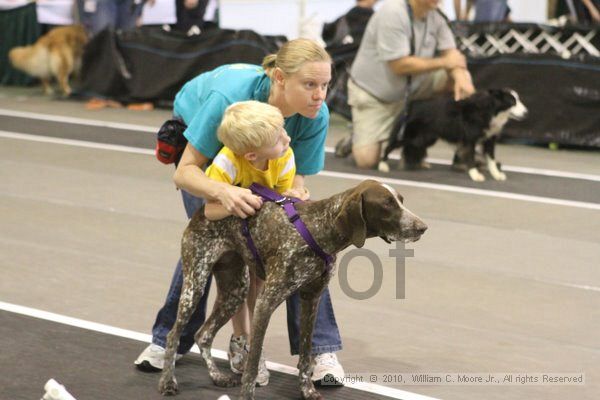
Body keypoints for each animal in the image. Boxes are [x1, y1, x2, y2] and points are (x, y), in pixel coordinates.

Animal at [156, 180, 426, 398]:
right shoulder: (265, 303)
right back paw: (168, 382)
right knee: (174, 334)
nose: (422, 227)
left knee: (203, 335)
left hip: (235, 291)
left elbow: (306, 354)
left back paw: (217, 377)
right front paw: (247, 395)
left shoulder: (311, 299)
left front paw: (307, 391)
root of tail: (205, 208)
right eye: (387, 204)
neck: (319, 228)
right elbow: (252, 366)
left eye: (401, 201)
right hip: (195, 284)